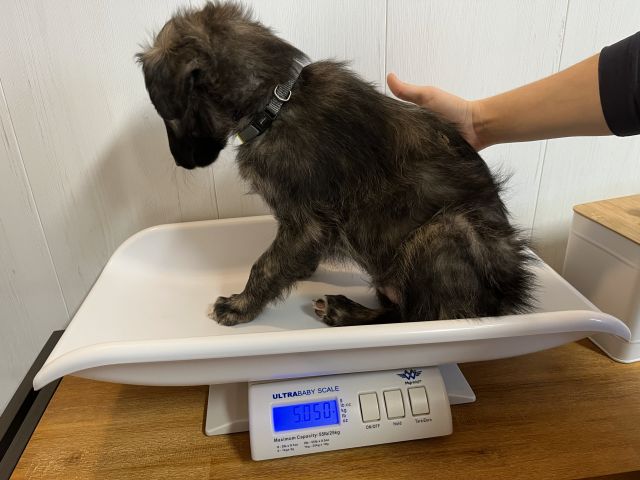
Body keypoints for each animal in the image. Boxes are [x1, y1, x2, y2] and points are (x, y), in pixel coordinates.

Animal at [137, 2, 534, 327]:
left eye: (168, 114)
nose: (180, 163)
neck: (275, 104)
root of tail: (506, 299)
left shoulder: (307, 224)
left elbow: (265, 265)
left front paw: (240, 306)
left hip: (446, 230)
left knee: (420, 316)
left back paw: (346, 312)